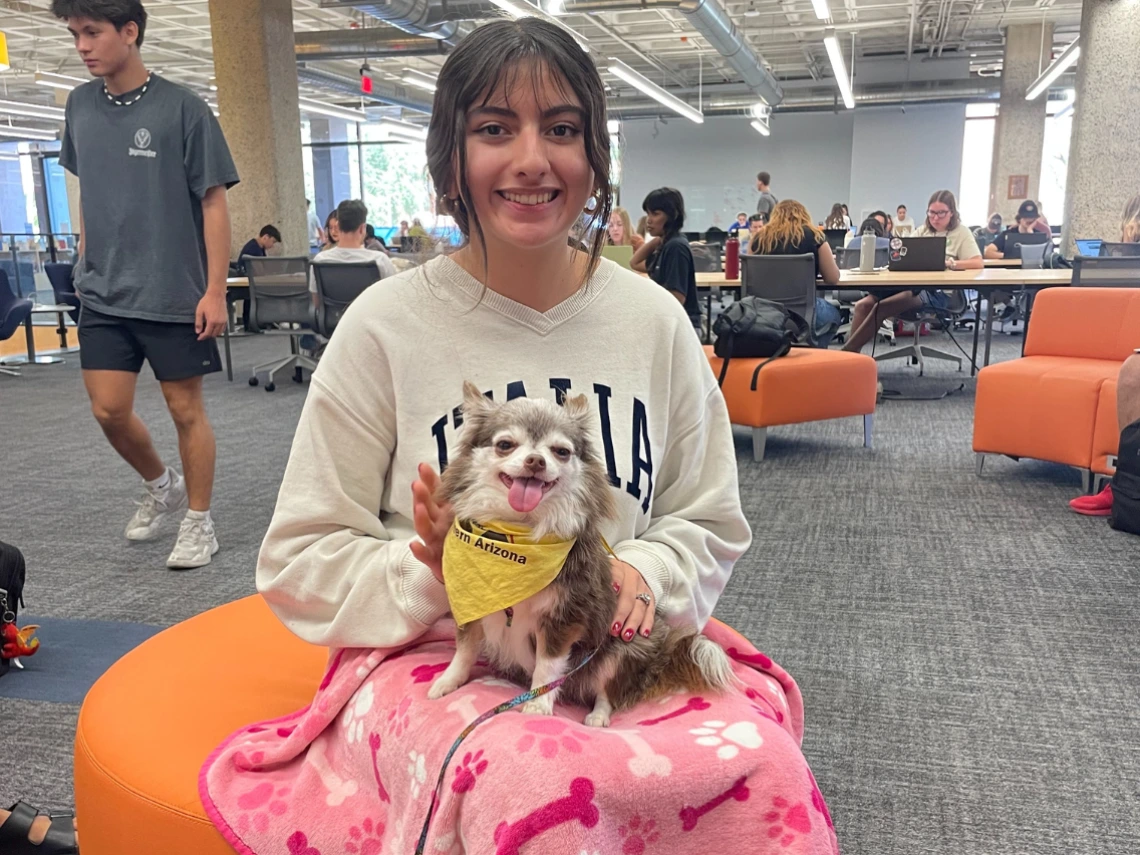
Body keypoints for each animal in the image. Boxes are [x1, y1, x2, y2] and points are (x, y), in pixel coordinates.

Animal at [426, 385, 729, 725]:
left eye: (561, 451)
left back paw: (597, 717)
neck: (517, 535)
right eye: (505, 445)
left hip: (619, 648)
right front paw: (448, 681)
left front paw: (538, 706)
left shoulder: (564, 619)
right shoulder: (470, 605)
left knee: (608, 692)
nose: (536, 461)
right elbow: (464, 650)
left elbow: (547, 668)